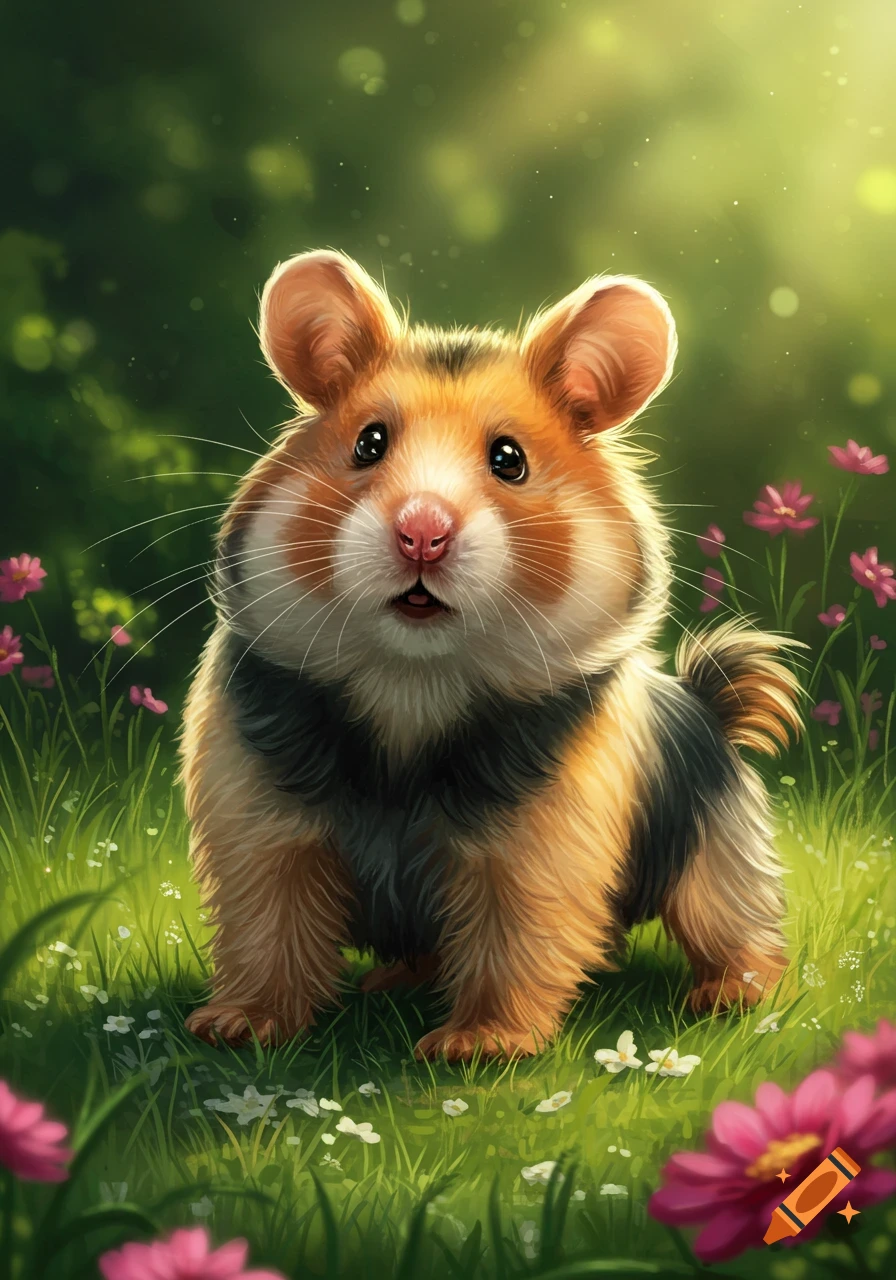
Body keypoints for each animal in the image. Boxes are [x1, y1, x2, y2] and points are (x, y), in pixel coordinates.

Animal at [180, 250, 801, 1060]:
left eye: (509, 460)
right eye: (368, 442)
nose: (422, 534)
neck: (413, 681)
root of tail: (712, 705)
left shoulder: (540, 847)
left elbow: (515, 936)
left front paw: (474, 1048)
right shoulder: (257, 823)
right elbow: (266, 926)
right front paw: (233, 1027)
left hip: (719, 847)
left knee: (739, 926)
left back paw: (730, 997)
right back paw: (390, 982)